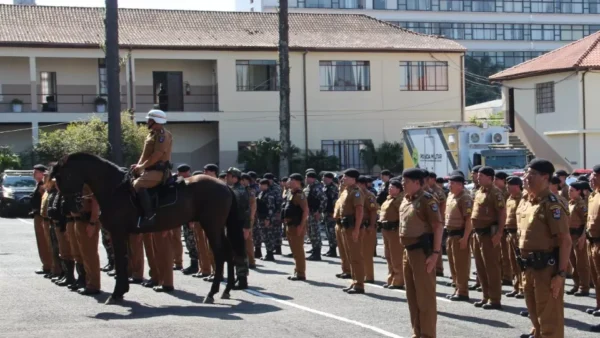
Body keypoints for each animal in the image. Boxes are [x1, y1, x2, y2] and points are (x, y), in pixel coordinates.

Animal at [50, 152, 245, 304]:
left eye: (62, 177)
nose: (68, 207)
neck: (114, 189)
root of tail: (225, 186)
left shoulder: (117, 232)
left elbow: (120, 260)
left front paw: (116, 293)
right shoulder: (125, 234)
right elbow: (125, 259)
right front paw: (122, 291)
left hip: (211, 226)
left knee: (219, 254)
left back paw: (212, 292)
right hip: (217, 227)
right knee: (229, 253)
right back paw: (226, 290)